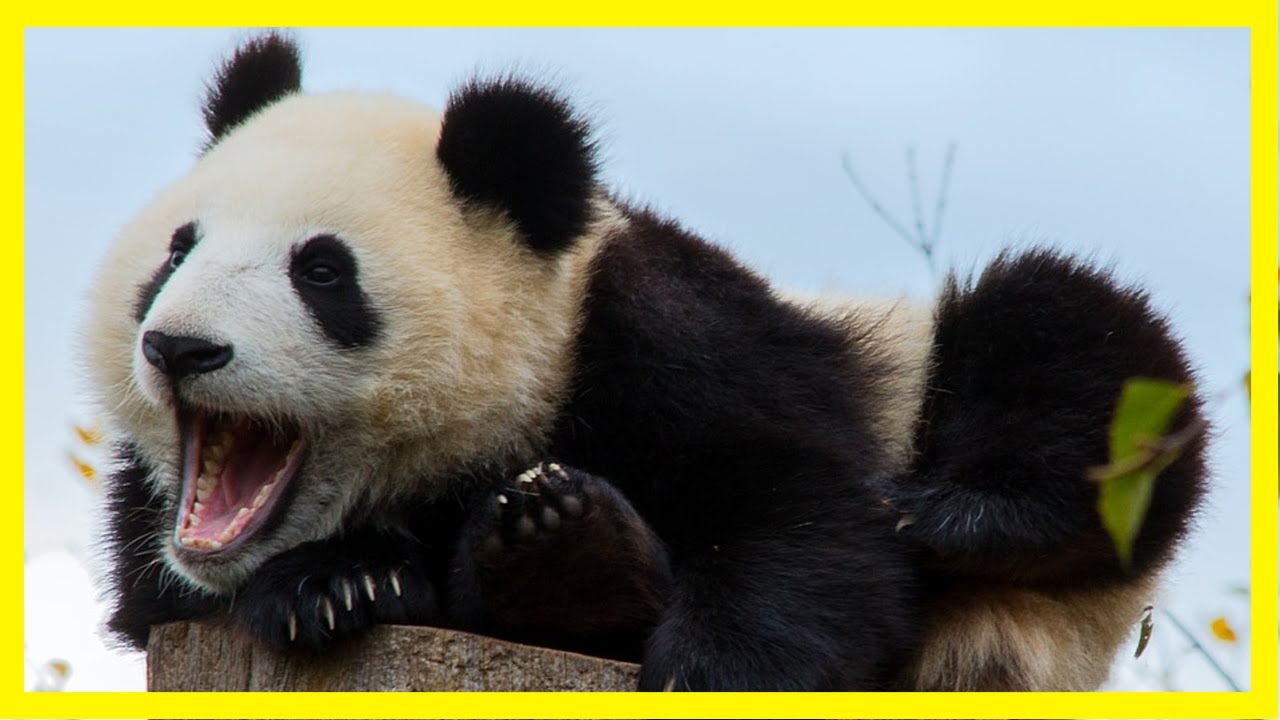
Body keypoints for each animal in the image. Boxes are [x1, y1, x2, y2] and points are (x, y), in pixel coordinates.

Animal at [87, 33, 1207, 692]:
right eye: (177, 252)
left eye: (321, 271)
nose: (180, 348)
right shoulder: (151, 525)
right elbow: (158, 596)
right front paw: (342, 584)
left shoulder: (661, 334)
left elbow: (806, 507)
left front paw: (714, 664)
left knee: (1066, 340)